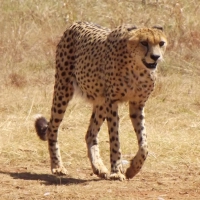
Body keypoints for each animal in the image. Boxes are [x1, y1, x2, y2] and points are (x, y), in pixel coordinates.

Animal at [34, 21, 167, 181]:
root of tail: (76, 23)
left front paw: (133, 168)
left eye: (161, 43)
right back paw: (57, 166)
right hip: (63, 89)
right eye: (144, 43)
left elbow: (144, 144)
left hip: (100, 102)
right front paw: (117, 171)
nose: (156, 56)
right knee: (53, 129)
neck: (137, 68)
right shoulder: (112, 102)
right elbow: (115, 138)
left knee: (90, 134)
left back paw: (99, 167)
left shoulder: (137, 104)